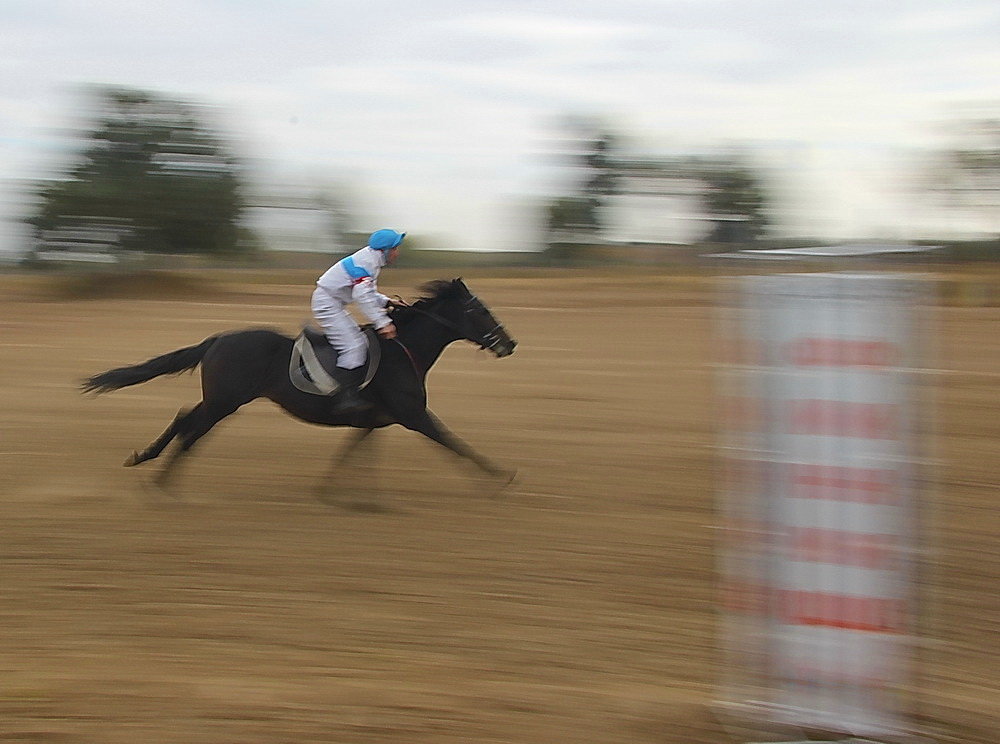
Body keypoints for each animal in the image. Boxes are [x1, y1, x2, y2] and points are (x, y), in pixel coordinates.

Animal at [82, 276, 520, 492]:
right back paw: (159, 477)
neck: (405, 350)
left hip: (223, 400)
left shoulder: (376, 419)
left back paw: (149, 465)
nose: (510, 344)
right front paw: (500, 476)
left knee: (185, 419)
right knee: (190, 427)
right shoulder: (413, 414)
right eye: (480, 310)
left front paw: (337, 492)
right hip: (226, 401)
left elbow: (352, 452)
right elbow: (454, 443)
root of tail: (217, 339)